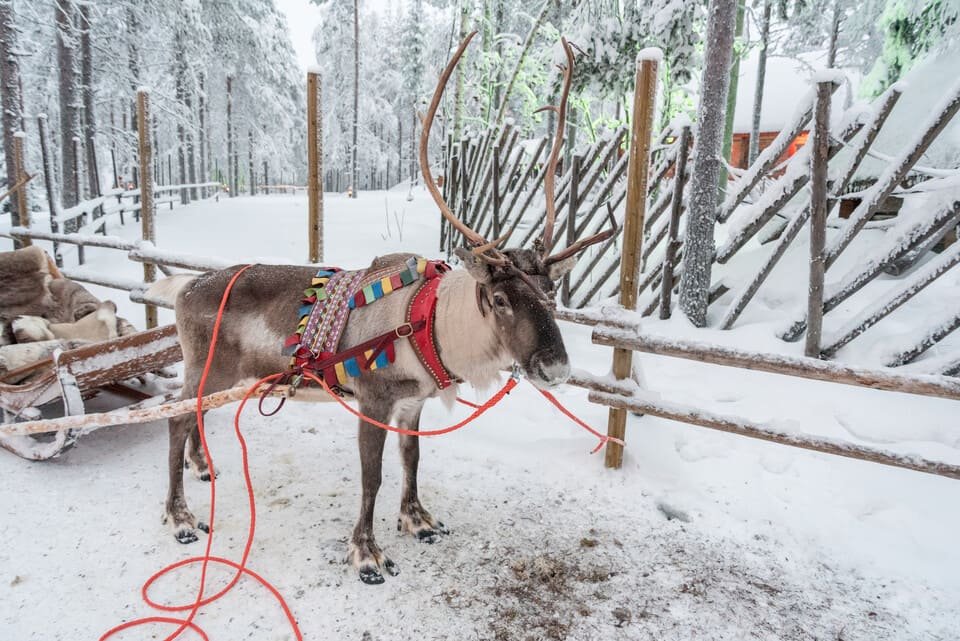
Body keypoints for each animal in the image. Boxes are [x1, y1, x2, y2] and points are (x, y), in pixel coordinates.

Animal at [153, 35, 612, 585]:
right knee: (175, 418)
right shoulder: (372, 401)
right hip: (210, 367)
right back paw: (180, 518)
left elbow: (412, 460)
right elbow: (371, 477)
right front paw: (366, 553)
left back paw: (203, 467)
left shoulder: (413, 403)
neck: (433, 324)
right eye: (501, 299)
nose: (555, 367)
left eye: (551, 293)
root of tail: (184, 288)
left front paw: (417, 520)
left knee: (191, 415)